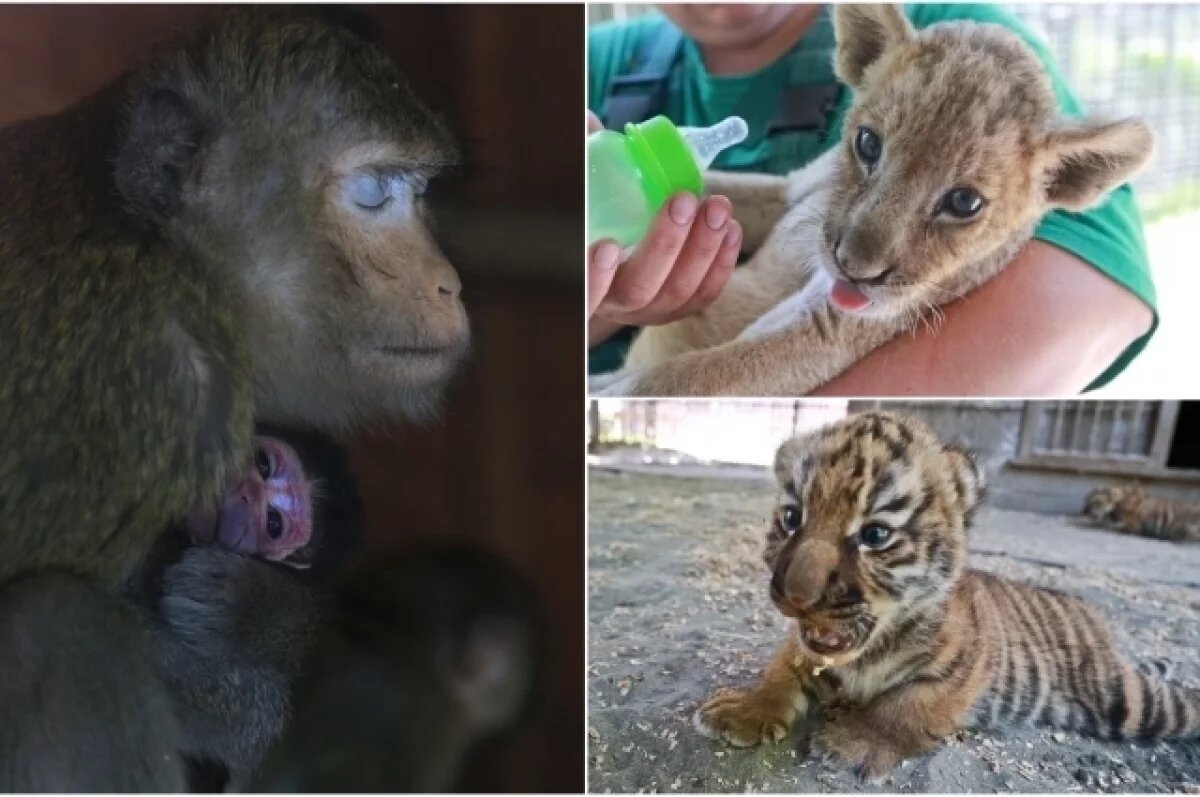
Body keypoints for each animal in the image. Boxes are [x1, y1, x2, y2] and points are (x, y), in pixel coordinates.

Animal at [0, 7, 468, 792]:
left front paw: (265, 619)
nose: (449, 284)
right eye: (375, 193)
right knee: (60, 630)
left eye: (422, 190)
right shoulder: (148, 382)